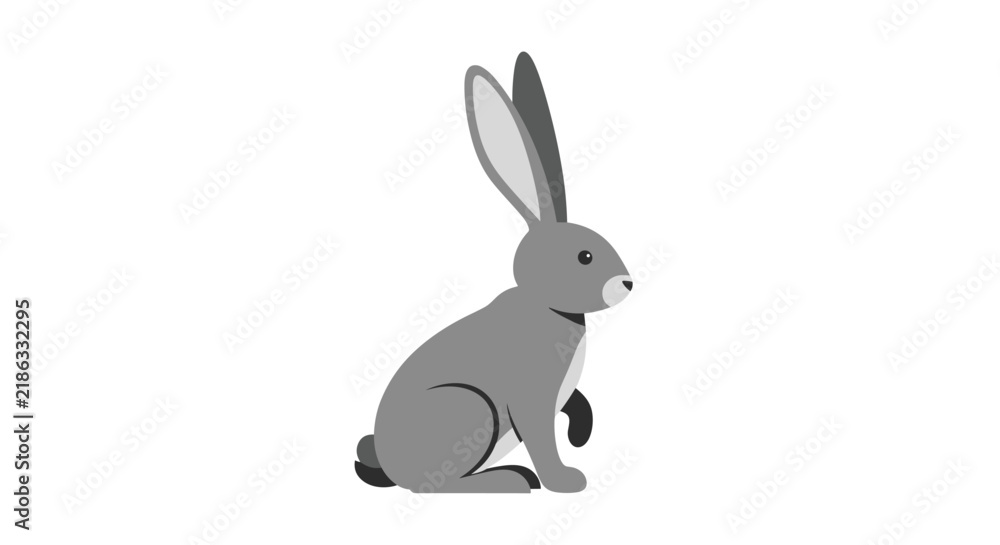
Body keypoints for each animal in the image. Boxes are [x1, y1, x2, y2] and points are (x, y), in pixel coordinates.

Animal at [355, 52, 633, 493]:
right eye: (585, 256)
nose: (627, 284)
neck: (546, 305)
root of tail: (391, 466)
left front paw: (580, 436)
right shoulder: (530, 397)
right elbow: (541, 440)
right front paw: (566, 481)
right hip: (471, 408)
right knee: (436, 485)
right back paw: (513, 479)